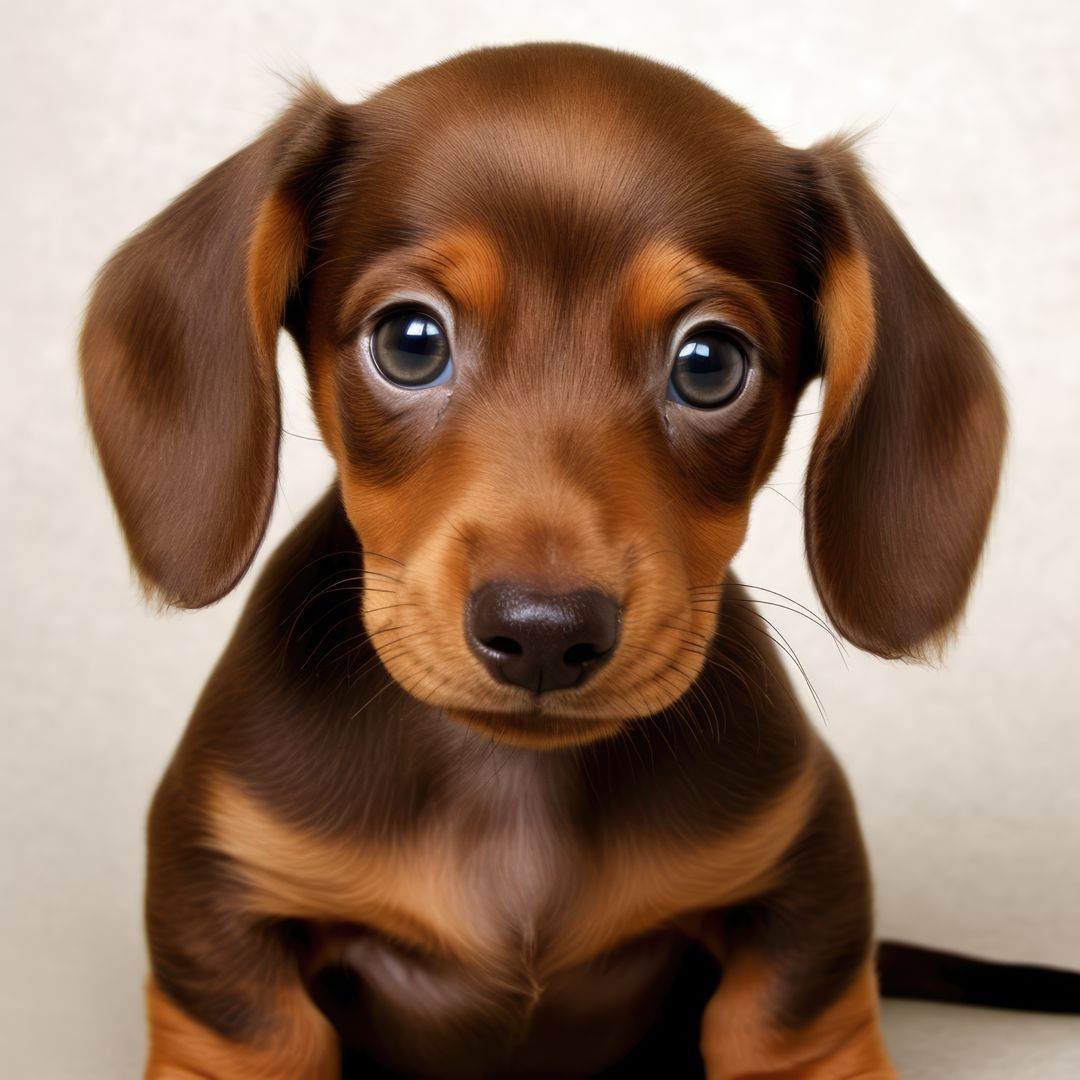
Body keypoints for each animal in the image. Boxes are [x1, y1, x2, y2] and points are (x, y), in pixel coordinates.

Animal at [79, 44, 1006, 1080]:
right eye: (409, 341)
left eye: (711, 363)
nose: (544, 634)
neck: (513, 786)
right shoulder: (218, 898)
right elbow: (254, 1033)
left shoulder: (808, 868)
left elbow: (792, 1029)